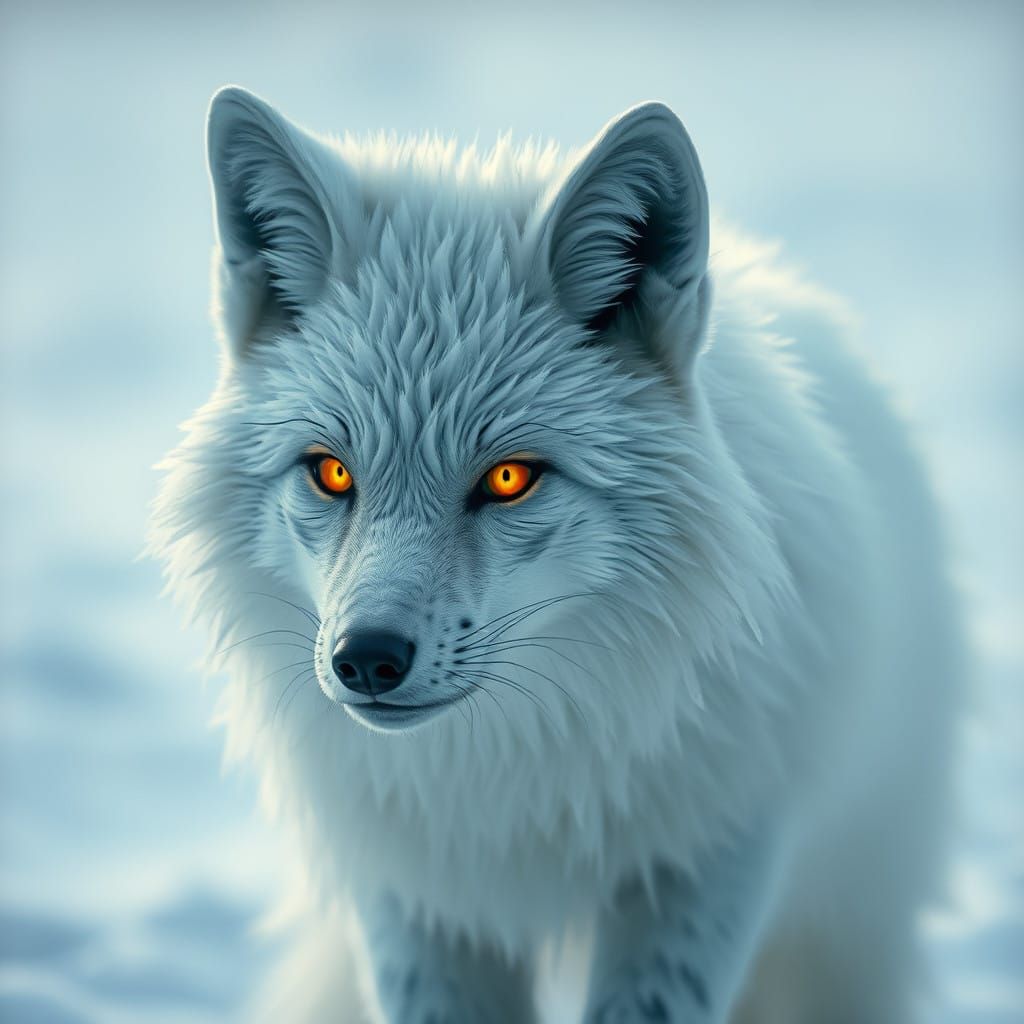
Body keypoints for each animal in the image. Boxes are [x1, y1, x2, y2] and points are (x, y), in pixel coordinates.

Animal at [150, 87, 962, 1024]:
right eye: (332, 471)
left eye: (509, 478)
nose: (367, 660)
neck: (509, 779)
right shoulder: (410, 889)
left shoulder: (712, 850)